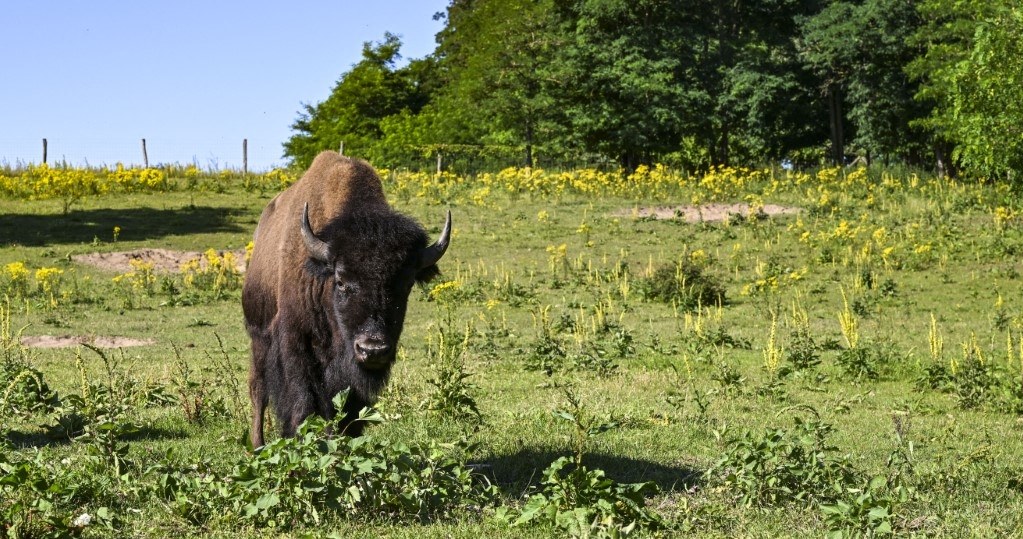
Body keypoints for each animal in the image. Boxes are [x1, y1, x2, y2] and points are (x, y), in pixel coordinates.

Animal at [241, 150, 450, 447]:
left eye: (406, 283)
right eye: (340, 281)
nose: (372, 349)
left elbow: (344, 406)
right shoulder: (295, 342)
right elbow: (301, 400)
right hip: (257, 335)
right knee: (258, 390)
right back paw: (258, 445)